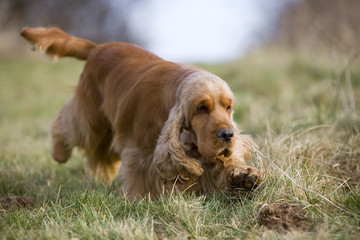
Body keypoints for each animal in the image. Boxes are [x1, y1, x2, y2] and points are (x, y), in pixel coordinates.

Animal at [20, 27, 262, 198]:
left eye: (228, 107)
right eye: (201, 108)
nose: (228, 135)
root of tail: (98, 47)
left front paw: (245, 176)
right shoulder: (139, 152)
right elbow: (140, 181)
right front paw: (140, 201)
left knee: (102, 154)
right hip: (91, 117)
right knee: (67, 126)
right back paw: (59, 152)